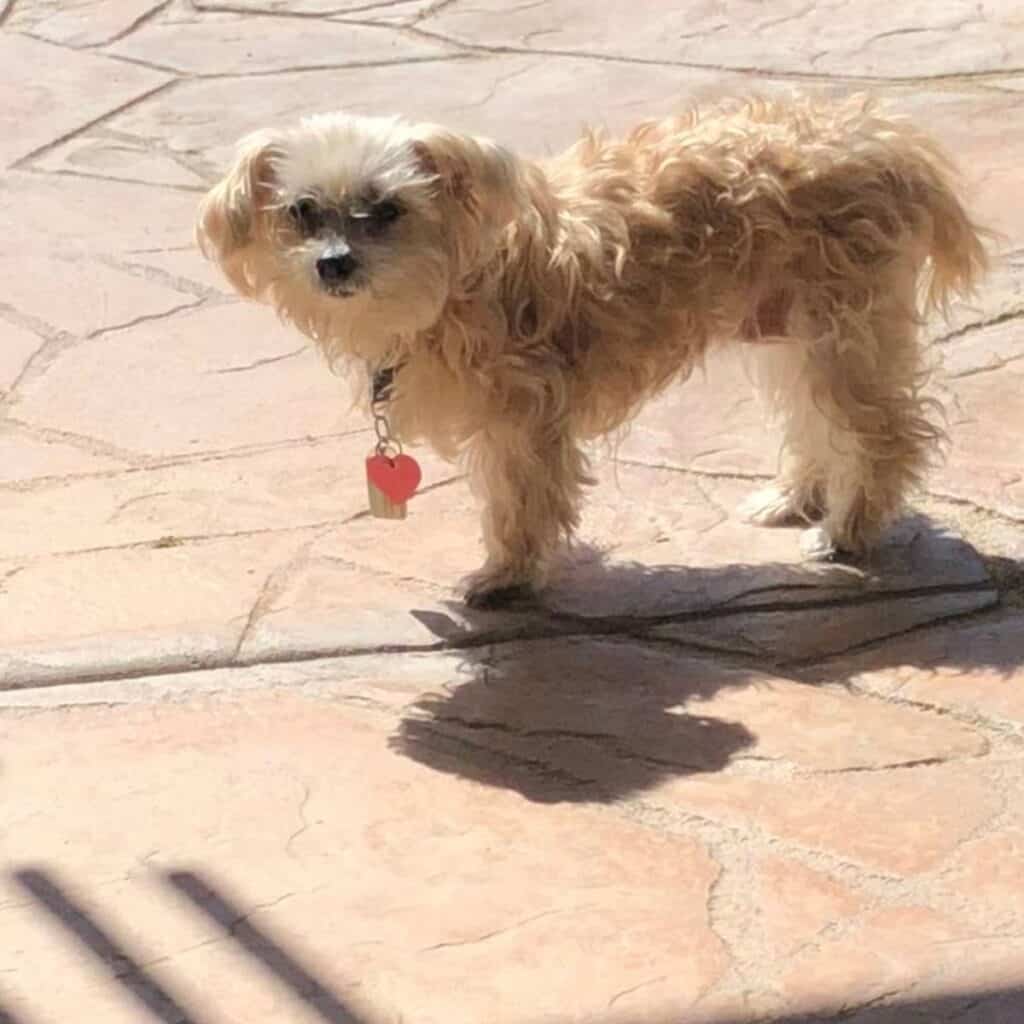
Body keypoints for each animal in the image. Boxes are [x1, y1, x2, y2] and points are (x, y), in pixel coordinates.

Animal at [195, 94, 987, 606]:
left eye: (387, 209)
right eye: (301, 211)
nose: (333, 263)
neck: (453, 285)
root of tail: (879, 139)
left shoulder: (521, 419)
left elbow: (520, 503)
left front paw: (506, 577)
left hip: (840, 331)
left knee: (884, 433)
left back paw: (847, 533)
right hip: (791, 333)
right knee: (814, 420)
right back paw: (798, 499)